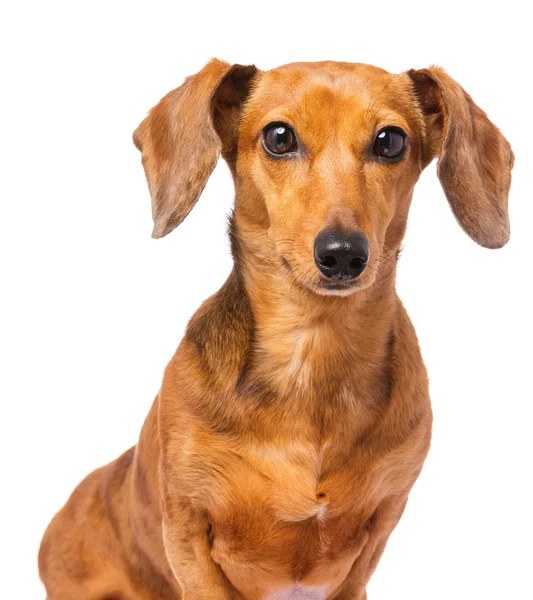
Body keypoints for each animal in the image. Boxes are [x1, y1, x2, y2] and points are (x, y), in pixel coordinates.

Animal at [37, 57, 512, 600]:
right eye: (279, 137)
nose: (343, 254)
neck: (312, 349)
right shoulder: (188, 528)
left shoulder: (377, 532)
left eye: (390, 141)